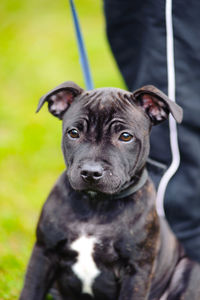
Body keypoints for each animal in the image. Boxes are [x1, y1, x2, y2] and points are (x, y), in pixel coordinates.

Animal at [19, 82, 200, 300]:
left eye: (125, 136)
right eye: (73, 133)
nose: (91, 172)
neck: (96, 204)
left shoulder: (136, 272)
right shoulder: (44, 253)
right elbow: (30, 291)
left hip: (189, 271)